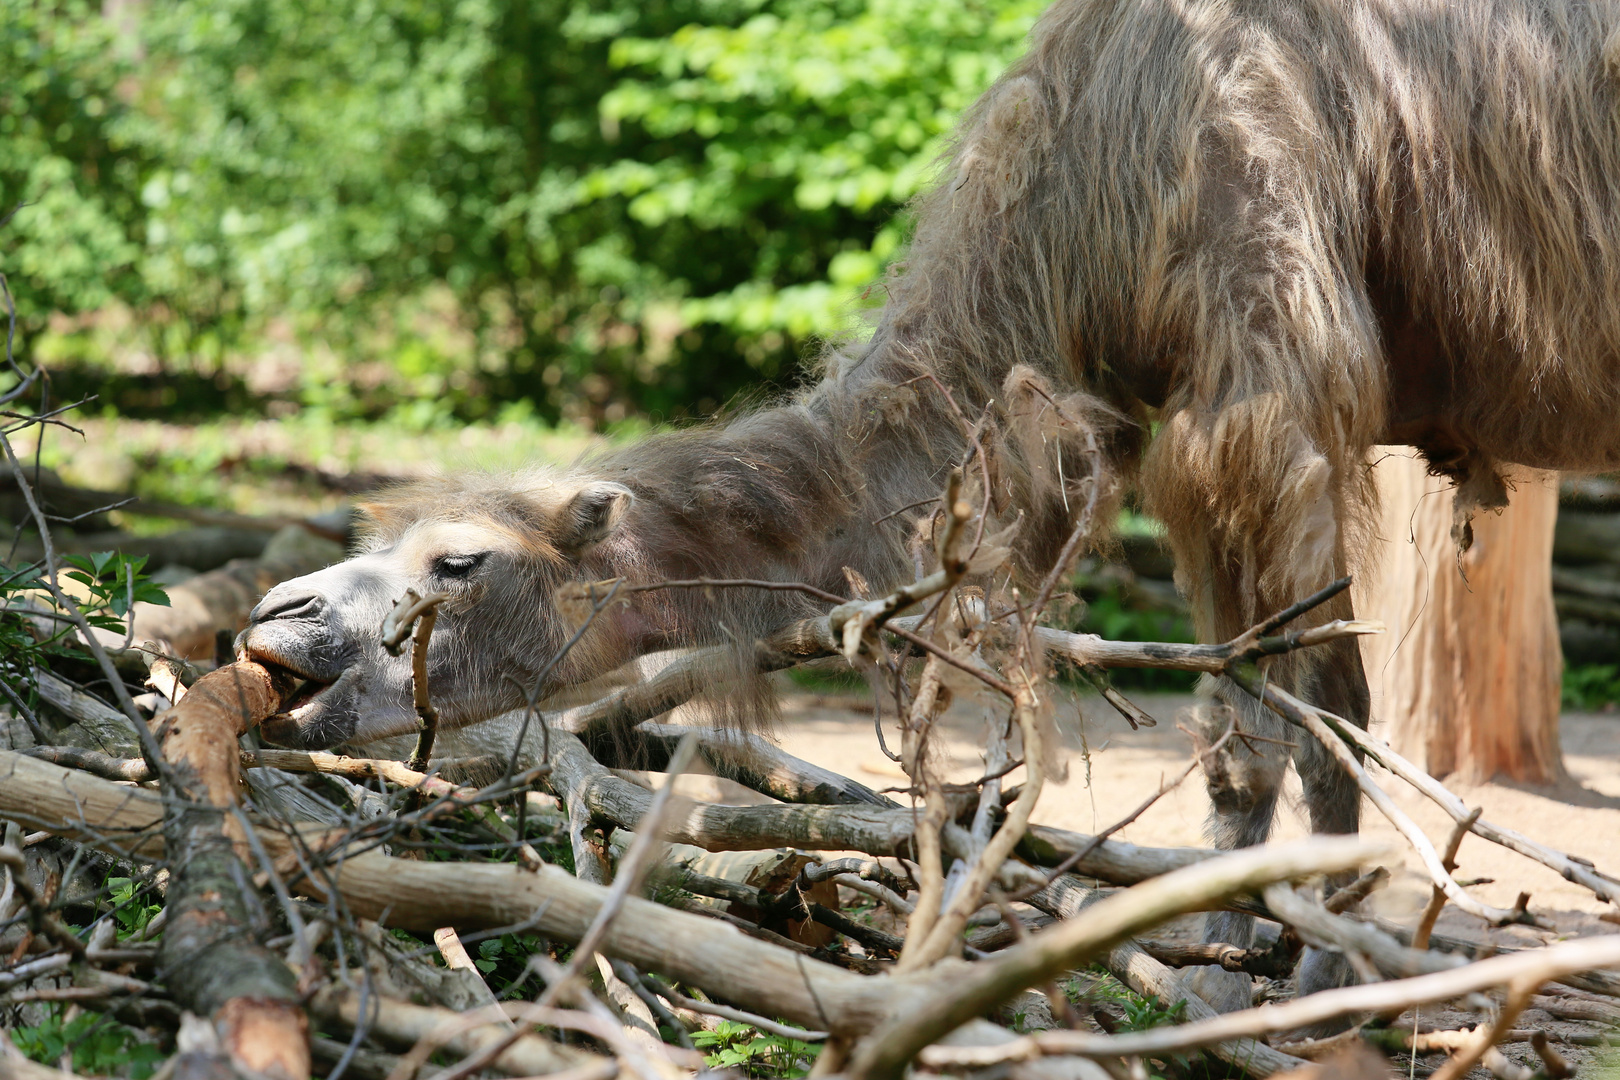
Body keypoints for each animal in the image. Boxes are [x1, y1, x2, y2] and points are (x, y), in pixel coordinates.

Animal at [239, 0, 1620, 1016]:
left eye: (458, 562)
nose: (276, 621)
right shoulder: (1194, 434)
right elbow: (1240, 722)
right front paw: (1222, 967)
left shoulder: (1275, 406)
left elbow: (1324, 707)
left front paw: (1323, 974)